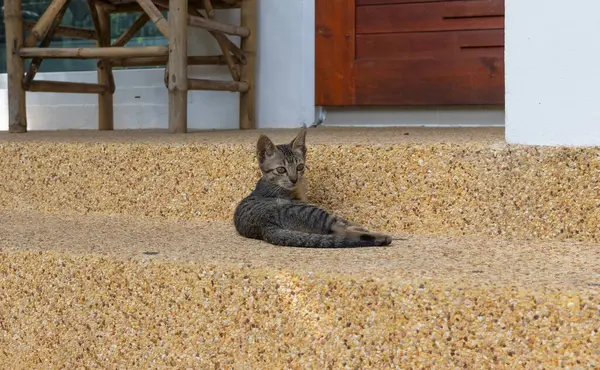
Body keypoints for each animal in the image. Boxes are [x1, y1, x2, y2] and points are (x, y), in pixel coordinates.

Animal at [232, 128, 392, 249]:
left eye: (300, 167)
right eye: (281, 169)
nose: (294, 179)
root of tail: (264, 225)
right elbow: (343, 222)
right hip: (311, 211)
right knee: (338, 229)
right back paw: (381, 237)